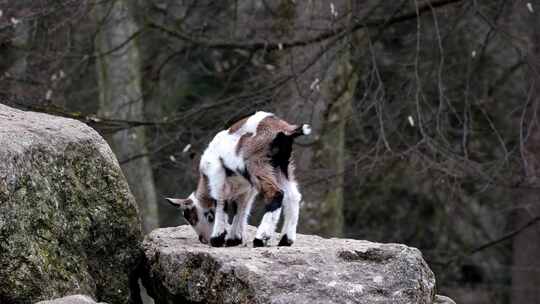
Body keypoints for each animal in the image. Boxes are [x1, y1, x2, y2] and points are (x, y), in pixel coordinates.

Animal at [165, 111, 310, 247]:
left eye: (191, 217)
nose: (203, 240)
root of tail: (284, 129)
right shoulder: (247, 189)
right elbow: (241, 208)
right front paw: (234, 239)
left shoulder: (217, 175)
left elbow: (220, 202)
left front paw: (217, 238)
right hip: (281, 166)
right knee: (293, 196)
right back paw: (286, 240)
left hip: (257, 163)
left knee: (275, 193)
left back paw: (260, 239)